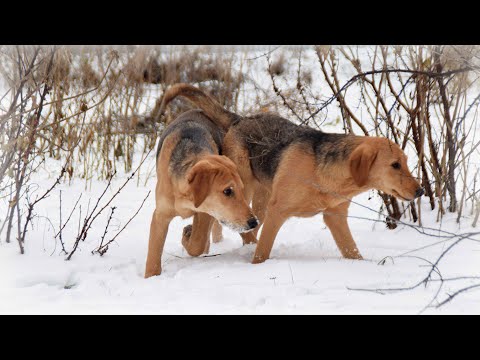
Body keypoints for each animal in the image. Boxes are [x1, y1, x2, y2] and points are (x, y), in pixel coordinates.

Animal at [144, 108, 258, 278]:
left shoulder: (205, 213)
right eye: (227, 191)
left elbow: (197, 243)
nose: (253, 223)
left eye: (240, 188)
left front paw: (187, 235)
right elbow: (153, 254)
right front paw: (151, 277)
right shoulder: (160, 216)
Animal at [158, 83, 424, 264]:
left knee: (241, 228)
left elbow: (353, 251)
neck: (323, 174)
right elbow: (262, 253)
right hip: (245, 194)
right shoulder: (277, 213)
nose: (421, 190)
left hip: (258, 205)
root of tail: (241, 119)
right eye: (395, 165)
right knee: (224, 222)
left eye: (405, 162)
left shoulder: (335, 218)